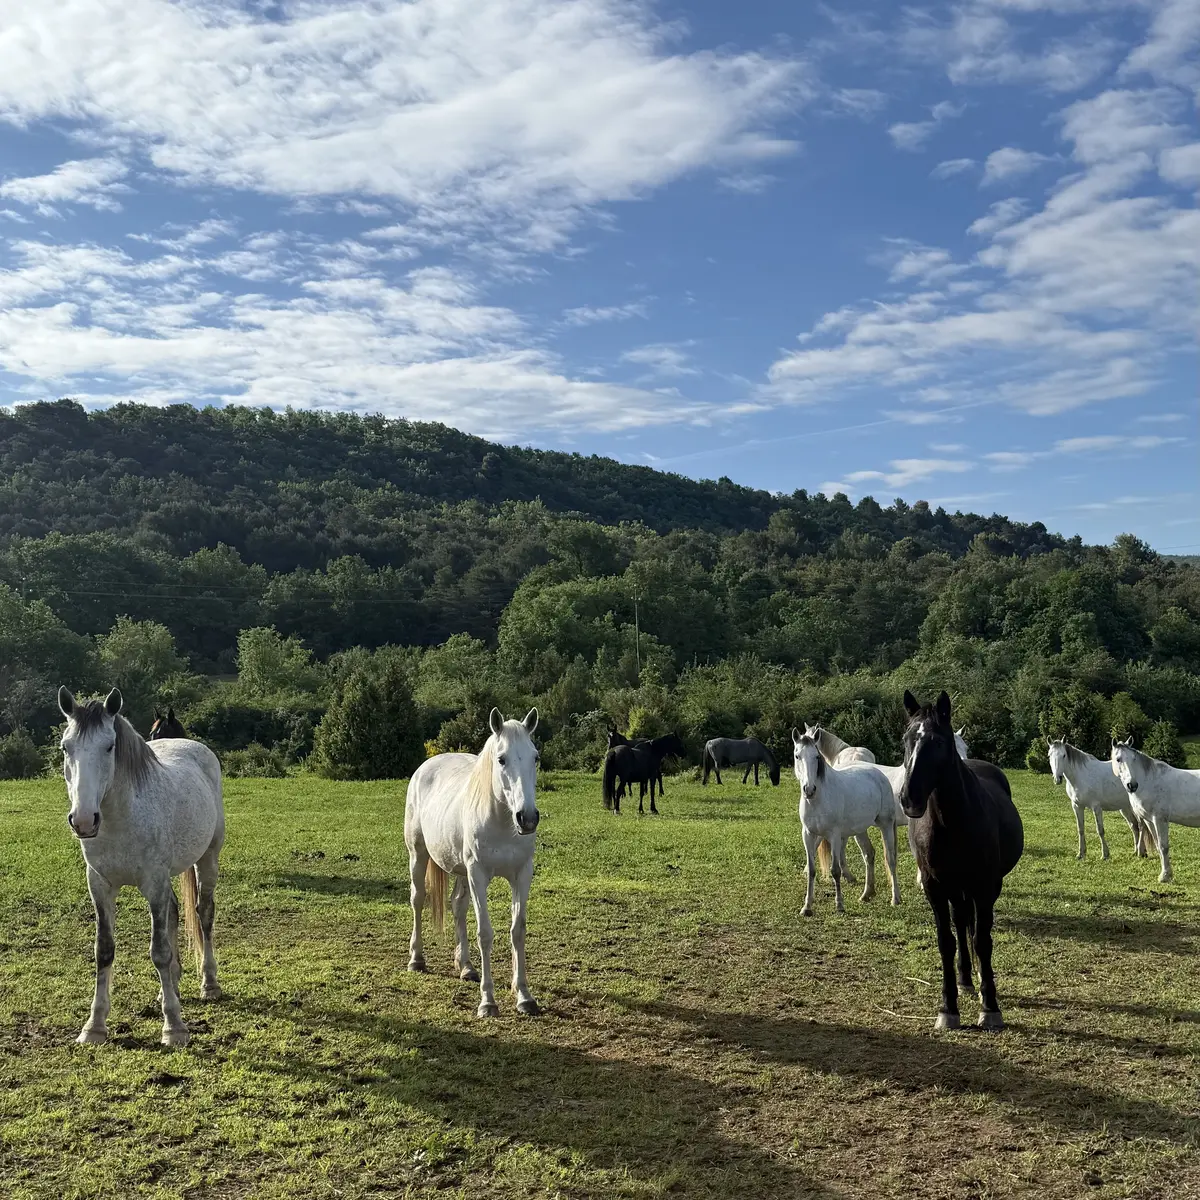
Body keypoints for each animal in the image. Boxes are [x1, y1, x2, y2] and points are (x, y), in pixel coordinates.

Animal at [58, 686, 225, 1046]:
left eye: (109, 746)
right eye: (66, 747)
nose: (83, 821)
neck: (120, 820)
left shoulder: (154, 883)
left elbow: (159, 950)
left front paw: (174, 1028)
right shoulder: (100, 886)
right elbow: (104, 950)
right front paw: (94, 1026)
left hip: (208, 858)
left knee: (203, 913)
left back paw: (209, 984)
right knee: (176, 911)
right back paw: (169, 989)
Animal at [405, 707, 541, 1018]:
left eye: (535, 757)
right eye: (501, 759)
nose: (527, 818)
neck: (503, 822)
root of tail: (425, 767)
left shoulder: (522, 874)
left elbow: (518, 930)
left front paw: (524, 995)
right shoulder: (478, 875)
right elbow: (485, 933)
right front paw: (488, 1001)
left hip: (460, 870)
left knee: (458, 906)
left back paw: (466, 966)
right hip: (418, 855)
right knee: (418, 899)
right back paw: (416, 959)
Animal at [792, 727, 900, 915]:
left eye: (817, 757)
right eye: (797, 756)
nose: (809, 789)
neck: (818, 800)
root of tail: (879, 774)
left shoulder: (834, 835)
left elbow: (835, 870)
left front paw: (839, 905)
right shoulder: (808, 834)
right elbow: (811, 870)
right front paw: (807, 907)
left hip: (886, 824)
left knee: (890, 858)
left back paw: (895, 899)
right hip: (860, 830)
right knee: (869, 854)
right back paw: (867, 894)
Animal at [900, 690, 1023, 1031]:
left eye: (938, 742)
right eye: (906, 740)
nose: (909, 798)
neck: (952, 822)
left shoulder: (984, 886)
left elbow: (982, 940)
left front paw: (990, 1007)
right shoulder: (935, 887)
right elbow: (946, 941)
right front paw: (947, 1009)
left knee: (972, 925)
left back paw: (978, 978)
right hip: (956, 888)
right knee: (961, 921)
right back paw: (966, 978)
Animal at [1111, 738, 1200, 884]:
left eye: (1133, 758)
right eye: (1118, 759)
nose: (1132, 785)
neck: (1150, 781)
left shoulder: (1160, 819)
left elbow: (1164, 846)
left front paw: (1164, 876)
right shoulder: (1149, 821)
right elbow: (1158, 845)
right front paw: (1167, 874)